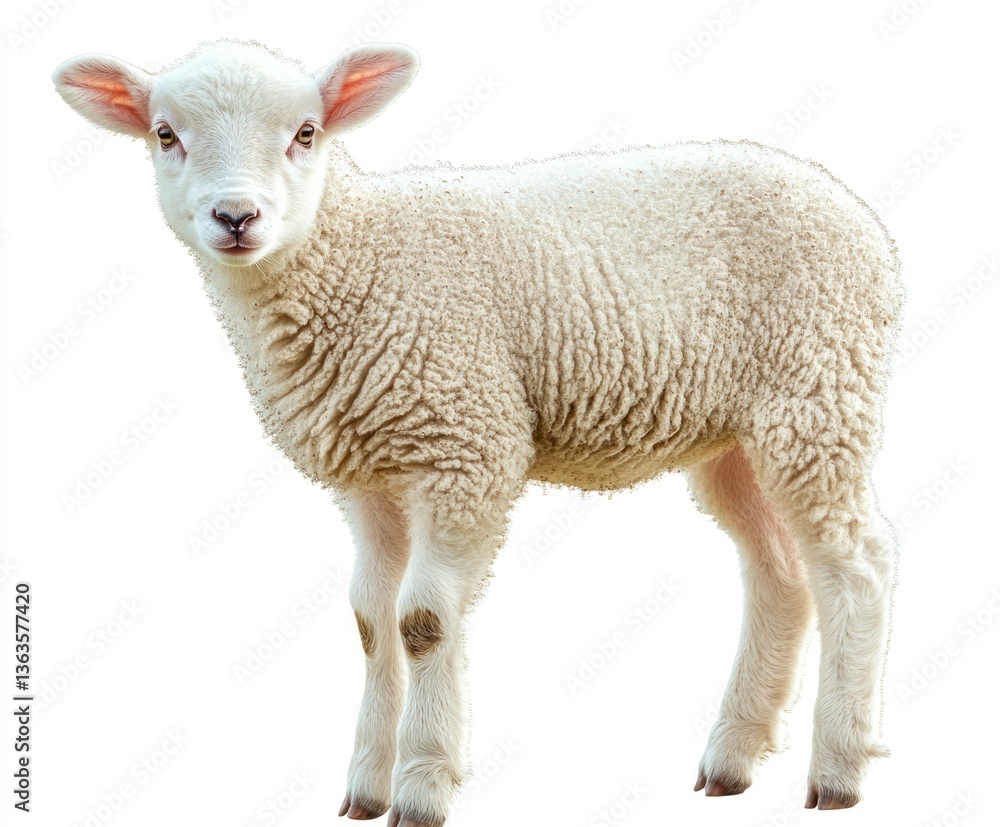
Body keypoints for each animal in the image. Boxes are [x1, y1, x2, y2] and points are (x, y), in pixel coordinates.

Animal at [54, 39, 902, 826]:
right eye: (166, 134)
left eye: (306, 132)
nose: (236, 217)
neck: (356, 258)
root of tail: (858, 216)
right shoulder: (369, 476)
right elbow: (370, 622)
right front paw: (366, 784)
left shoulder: (467, 443)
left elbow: (423, 621)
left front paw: (423, 784)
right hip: (736, 434)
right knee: (779, 570)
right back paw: (734, 755)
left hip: (819, 392)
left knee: (857, 567)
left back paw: (838, 768)